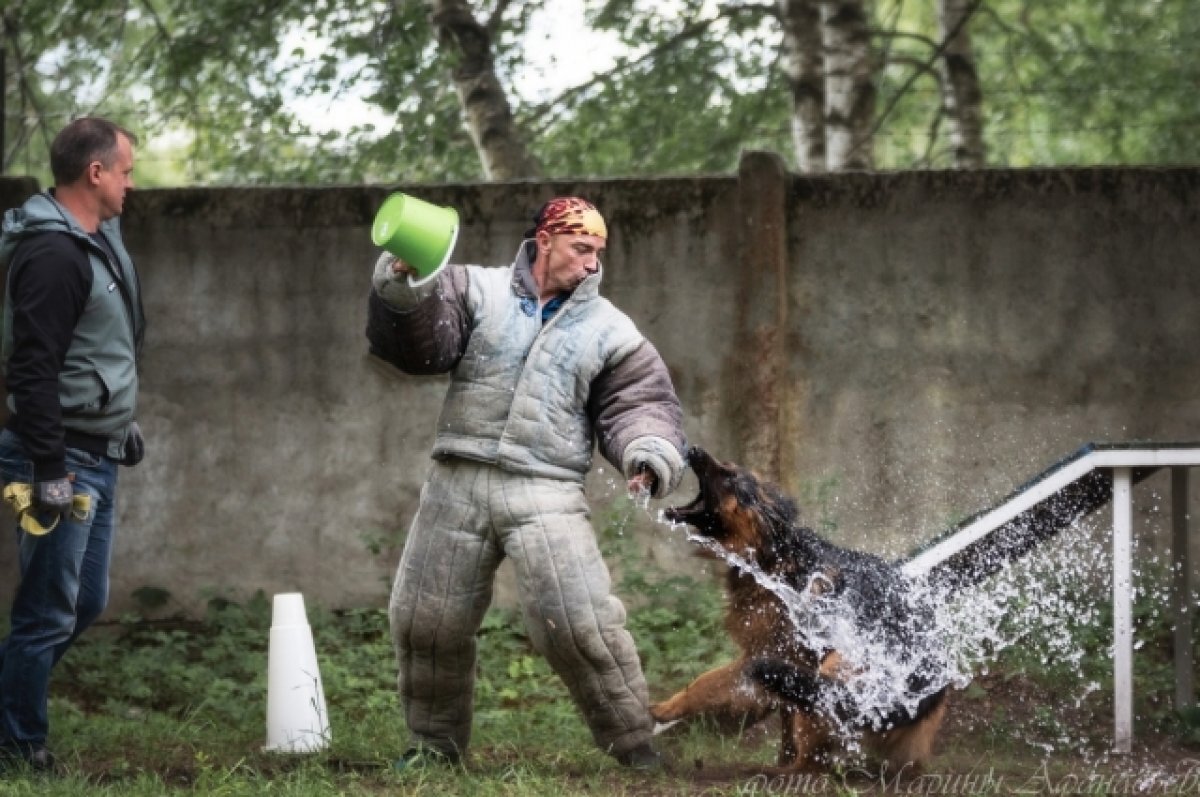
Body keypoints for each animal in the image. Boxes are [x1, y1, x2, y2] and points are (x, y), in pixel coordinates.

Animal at [652, 444, 950, 768]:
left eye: (731, 477)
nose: (693, 448)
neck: (772, 557)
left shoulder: (774, 654)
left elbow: (709, 682)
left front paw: (664, 709)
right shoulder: (774, 657)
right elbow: (768, 706)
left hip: (837, 669)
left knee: (813, 753)